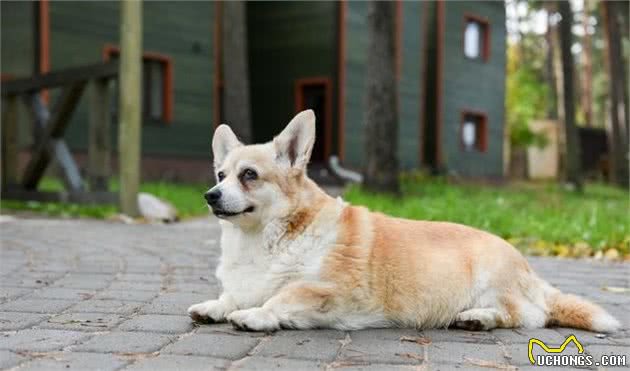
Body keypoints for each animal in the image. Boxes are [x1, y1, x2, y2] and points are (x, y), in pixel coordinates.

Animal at [188, 110, 624, 334]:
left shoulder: (325, 290)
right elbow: (232, 296)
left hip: (493, 282)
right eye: (221, 175)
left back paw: (479, 318)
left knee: (527, 315)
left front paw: (255, 315)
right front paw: (216, 306)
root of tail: (530, 270)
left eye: (249, 175)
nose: (210, 196)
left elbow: (281, 298)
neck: (260, 240)